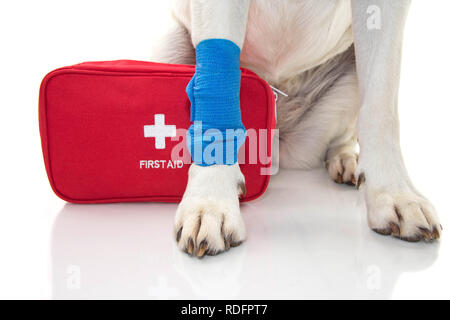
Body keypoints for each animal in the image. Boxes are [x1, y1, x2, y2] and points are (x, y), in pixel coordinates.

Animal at [152, 0, 442, 256]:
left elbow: (381, 103)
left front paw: (395, 194)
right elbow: (216, 93)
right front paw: (211, 200)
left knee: (347, 132)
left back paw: (346, 159)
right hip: (171, 46)